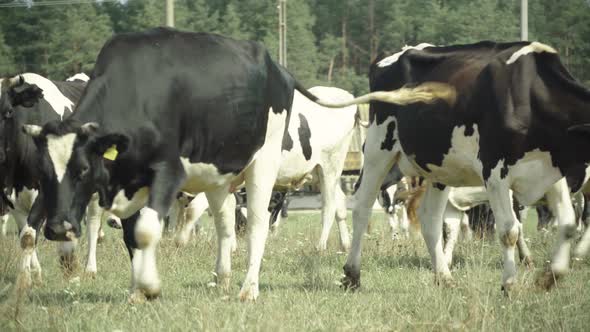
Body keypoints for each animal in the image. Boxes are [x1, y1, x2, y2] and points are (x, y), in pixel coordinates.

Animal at [20, 27, 350, 302]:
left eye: (84, 169)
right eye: (43, 172)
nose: (59, 228)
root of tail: (279, 69)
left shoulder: (168, 171)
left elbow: (147, 231)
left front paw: (150, 286)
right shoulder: (132, 181)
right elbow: (131, 236)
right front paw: (136, 292)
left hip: (271, 162)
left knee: (260, 222)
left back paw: (249, 289)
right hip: (220, 174)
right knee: (225, 221)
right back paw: (221, 279)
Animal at [316, 42, 590, 296]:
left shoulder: (553, 171)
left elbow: (568, 224)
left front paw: (550, 276)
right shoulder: (495, 172)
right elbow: (508, 231)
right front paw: (509, 284)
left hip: (438, 168)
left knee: (430, 218)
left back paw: (444, 277)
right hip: (378, 148)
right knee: (362, 206)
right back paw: (352, 274)